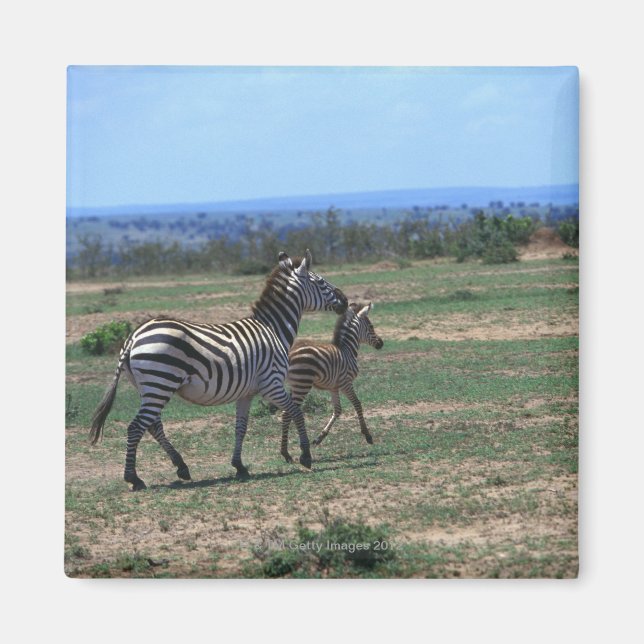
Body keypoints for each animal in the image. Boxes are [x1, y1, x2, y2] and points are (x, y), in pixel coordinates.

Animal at [89, 250, 348, 490]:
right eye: (321, 282)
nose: (345, 300)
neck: (273, 329)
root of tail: (133, 337)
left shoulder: (247, 392)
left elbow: (241, 428)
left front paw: (239, 466)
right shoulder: (271, 383)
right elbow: (296, 412)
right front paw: (305, 455)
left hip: (149, 387)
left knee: (153, 425)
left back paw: (181, 467)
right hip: (161, 383)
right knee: (136, 427)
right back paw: (134, 478)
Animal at [279, 301, 383, 460]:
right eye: (371, 326)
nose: (381, 343)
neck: (347, 350)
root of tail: (289, 353)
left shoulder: (333, 387)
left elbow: (338, 410)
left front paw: (320, 437)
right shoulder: (346, 383)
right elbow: (357, 404)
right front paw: (367, 435)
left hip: (296, 385)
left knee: (287, 412)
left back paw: (286, 452)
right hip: (302, 384)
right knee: (287, 413)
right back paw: (286, 453)